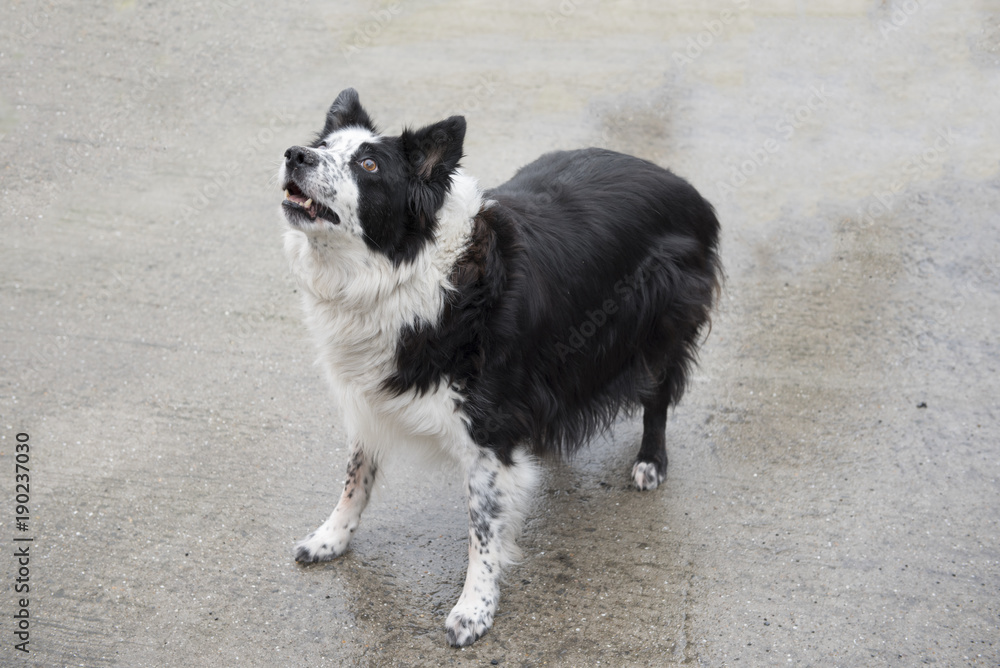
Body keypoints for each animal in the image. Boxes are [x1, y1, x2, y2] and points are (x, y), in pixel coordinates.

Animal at [278, 88, 724, 648]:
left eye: (369, 164)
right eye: (321, 146)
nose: (295, 155)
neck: (406, 273)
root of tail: (683, 186)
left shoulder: (486, 431)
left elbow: (483, 529)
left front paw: (474, 609)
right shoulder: (370, 395)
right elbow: (356, 475)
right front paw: (330, 538)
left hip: (660, 323)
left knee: (658, 394)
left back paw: (650, 461)